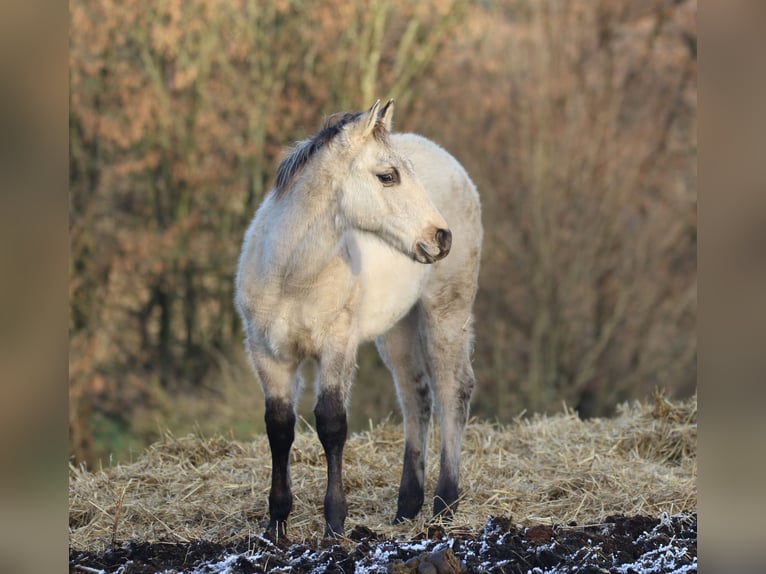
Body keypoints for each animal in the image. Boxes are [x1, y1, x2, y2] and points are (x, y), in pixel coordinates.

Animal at [235, 99, 482, 537]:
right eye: (388, 176)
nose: (441, 237)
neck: (290, 275)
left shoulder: (337, 346)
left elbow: (331, 424)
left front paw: (334, 523)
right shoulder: (269, 355)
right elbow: (279, 427)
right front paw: (277, 524)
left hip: (446, 310)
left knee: (452, 390)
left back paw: (445, 503)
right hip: (398, 328)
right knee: (416, 396)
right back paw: (407, 507)